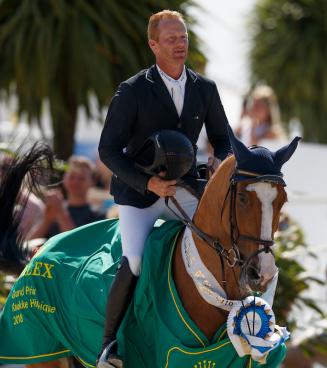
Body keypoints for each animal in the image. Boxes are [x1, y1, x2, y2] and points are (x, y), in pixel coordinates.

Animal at [0, 127, 302, 368]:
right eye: (242, 199)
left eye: (283, 200)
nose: (262, 274)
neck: (208, 286)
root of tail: (39, 252)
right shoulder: (171, 353)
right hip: (42, 351)